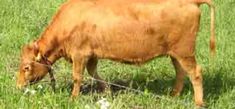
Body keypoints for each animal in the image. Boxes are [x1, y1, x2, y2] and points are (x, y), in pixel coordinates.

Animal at [16, 0, 215, 106]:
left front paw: (73, 98)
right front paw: (107, 91)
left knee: (196, 73)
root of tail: (191, 2)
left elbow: (77, 77)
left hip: (184, 51)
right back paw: (173, 95)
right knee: (181, 72)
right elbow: (93, 73)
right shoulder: (92, 54)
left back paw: (198, 103)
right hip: (175, 53)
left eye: (26, 67)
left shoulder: (79, 54)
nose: (18, 86)